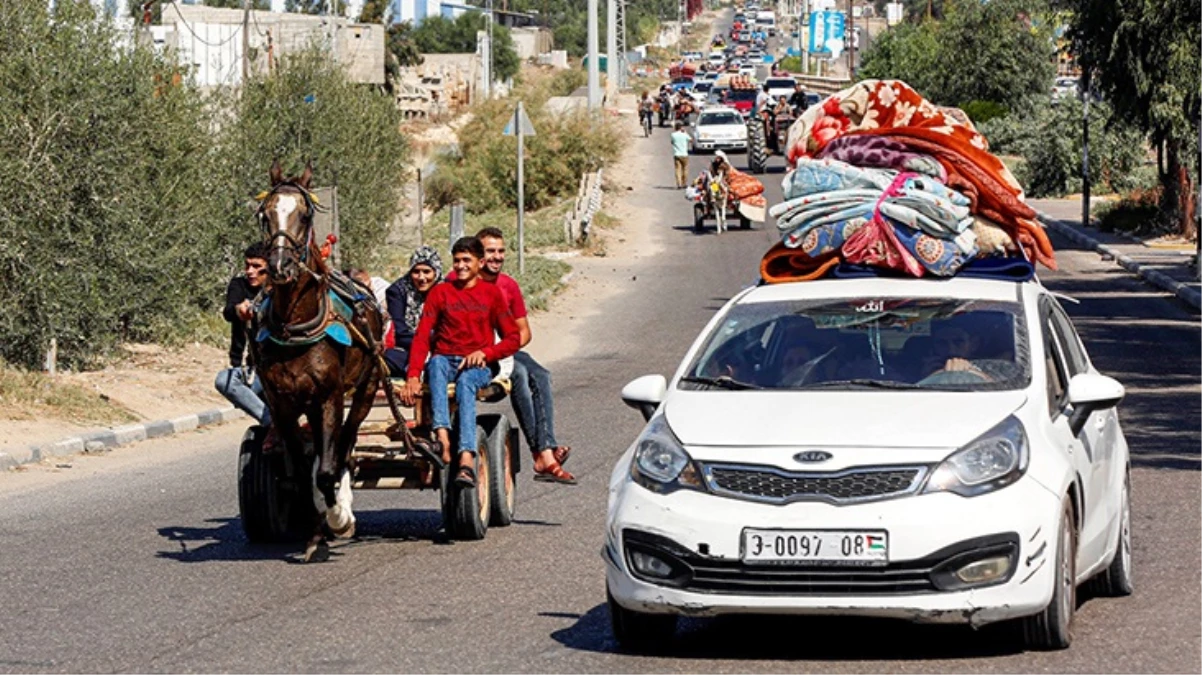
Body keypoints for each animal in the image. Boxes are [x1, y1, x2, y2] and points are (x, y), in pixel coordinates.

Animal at [248, 159, 384, 559]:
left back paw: (342, 504)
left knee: (345, 446)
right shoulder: (282, 403)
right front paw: (313, 530)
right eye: (265, 214)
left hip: (366, 388)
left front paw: (337, 518)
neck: (296, 326)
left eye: (305, 214)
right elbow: (296, 472)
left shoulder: (330, 396)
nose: (280, 266)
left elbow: (327, 468)